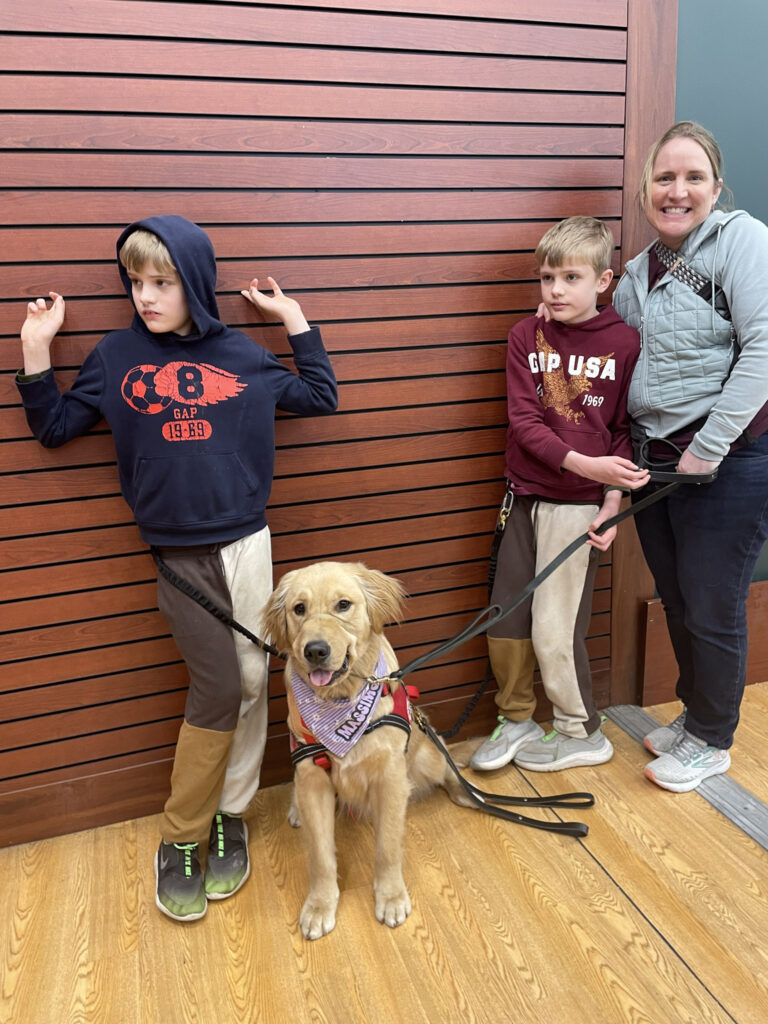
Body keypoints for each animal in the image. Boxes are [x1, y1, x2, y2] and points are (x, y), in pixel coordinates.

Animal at [264, 565, 475, 937]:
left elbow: (387, 848)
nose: (315, 650)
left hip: (425, 755)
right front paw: (320, 905)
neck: (340, 703)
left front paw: (391, 897)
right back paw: (295, 810)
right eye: (299, 609)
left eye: (343, 605)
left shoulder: (389, 777)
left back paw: (466, 791)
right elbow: (320, 856)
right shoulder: (313, 778)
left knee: (445, 762)